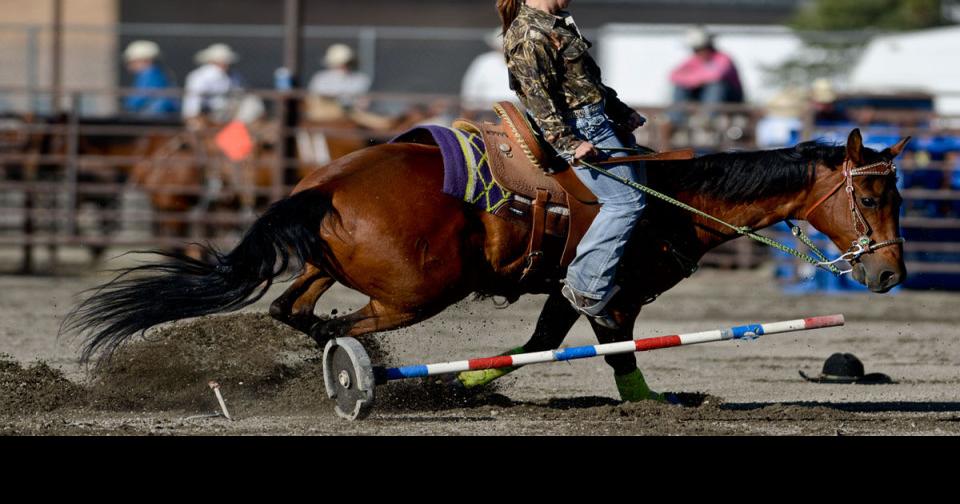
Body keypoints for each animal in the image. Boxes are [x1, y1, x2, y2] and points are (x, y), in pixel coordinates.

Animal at [65, 129, 908, 402]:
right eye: (871, 193)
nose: (891, 275)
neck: (669, 199)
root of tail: (327, 183)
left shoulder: (571, 291)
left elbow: (544, 341)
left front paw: (474, 383)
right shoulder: (613, 293)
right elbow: (612, 350)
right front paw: (657, 404)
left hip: (332, 268)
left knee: (293, 312)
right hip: (418, 292)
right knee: (341, 331)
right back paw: (364, 379)